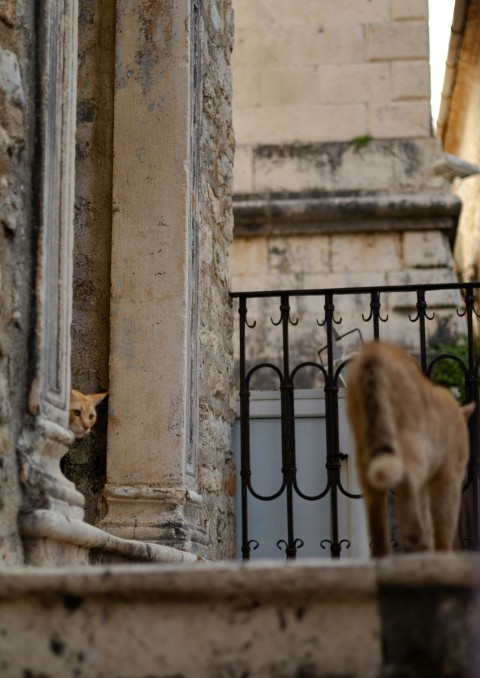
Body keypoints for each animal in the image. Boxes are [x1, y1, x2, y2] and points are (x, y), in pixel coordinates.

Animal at [346, 342, 474, 560]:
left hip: (365, 448)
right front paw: (441, 554)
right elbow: (443, 519)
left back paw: (382, 557)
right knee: (409, 480)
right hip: (413, 447)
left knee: (375, 500)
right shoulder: (449, 475)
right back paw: (416, 547)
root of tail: (373, 353)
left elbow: (428, 516)